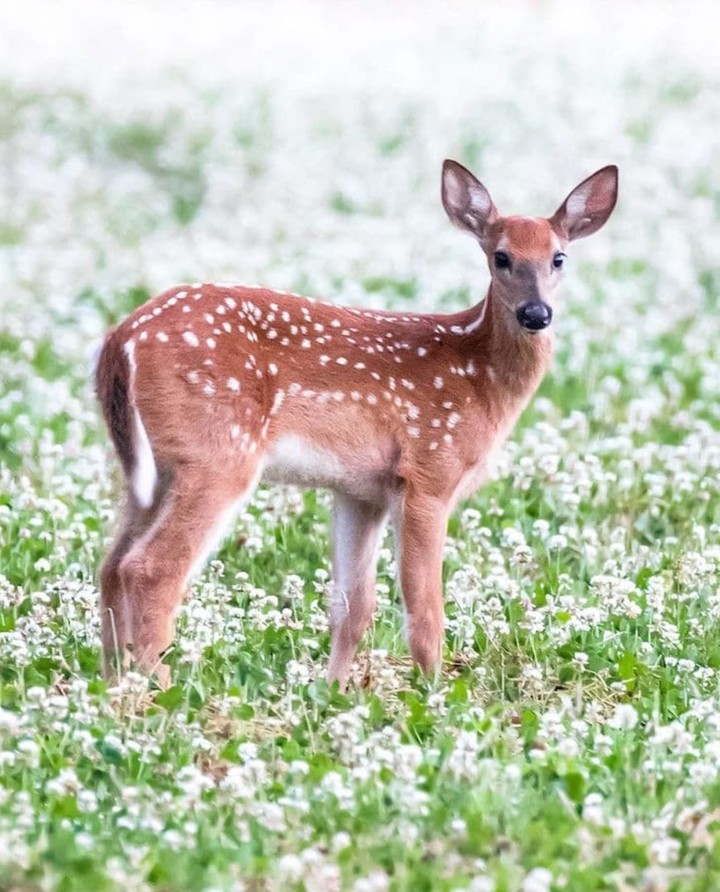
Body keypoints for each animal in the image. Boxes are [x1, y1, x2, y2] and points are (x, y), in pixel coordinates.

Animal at [95, 159, 618, 689]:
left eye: (558, 258)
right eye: (501, 257)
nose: (536, 313)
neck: (479, 377)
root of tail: (121, 339)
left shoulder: (362, 491)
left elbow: (353, 606)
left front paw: (335, 691)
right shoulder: (429, 470)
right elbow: (425, 612)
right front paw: (436, 694)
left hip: (155, 468)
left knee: (112, 565)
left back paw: (113, 682)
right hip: (218, 454)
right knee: (151, 569)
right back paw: (161, 687)